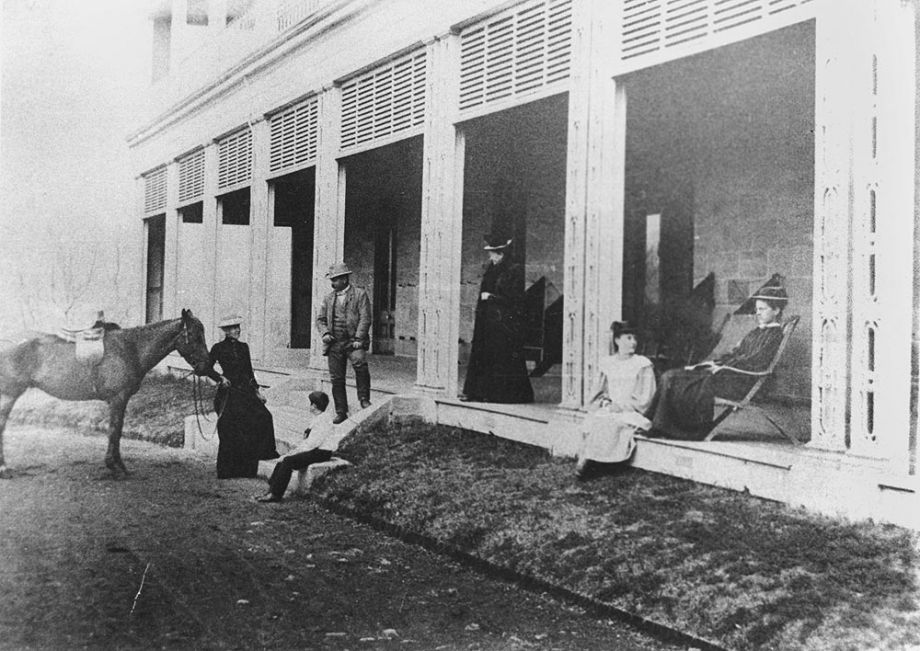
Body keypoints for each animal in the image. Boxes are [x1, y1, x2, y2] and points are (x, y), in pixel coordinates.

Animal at [0, 308, 212, 476]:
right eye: (194, 335)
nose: (206, 367)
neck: (131, 348)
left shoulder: (120, 400)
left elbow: (116, 431)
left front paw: (117, 464)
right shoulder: (118, 399)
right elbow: (114, 430)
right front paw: (115, 466)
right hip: (9, 393)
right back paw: (3, 467)